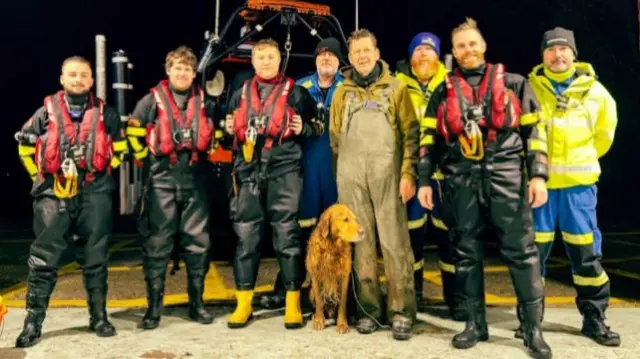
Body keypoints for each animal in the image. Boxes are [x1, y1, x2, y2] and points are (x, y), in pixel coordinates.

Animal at [304, 204, 360, 334]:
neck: (331, 248)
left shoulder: (344, 276)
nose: (362, 231)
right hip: (310, 292)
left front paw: (342, 324)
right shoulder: (315, 275)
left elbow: (342, 303)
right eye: (345, 219)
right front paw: (319, 320)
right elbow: (319, 301)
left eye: (355, 219)